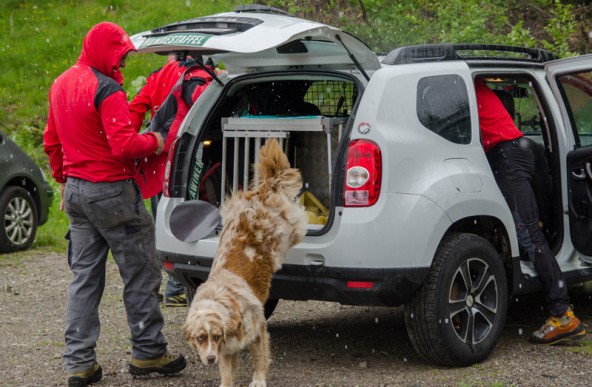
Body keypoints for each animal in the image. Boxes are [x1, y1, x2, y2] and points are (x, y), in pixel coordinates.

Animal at [183, 139, 308, 387]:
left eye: (215, 336)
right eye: (200, 338)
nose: (209, 358)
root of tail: (263, 190)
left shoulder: (257, 329)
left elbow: (259, 358)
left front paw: (258, 380)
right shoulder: (226, 349)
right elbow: (226, 370)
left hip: (286, 230)